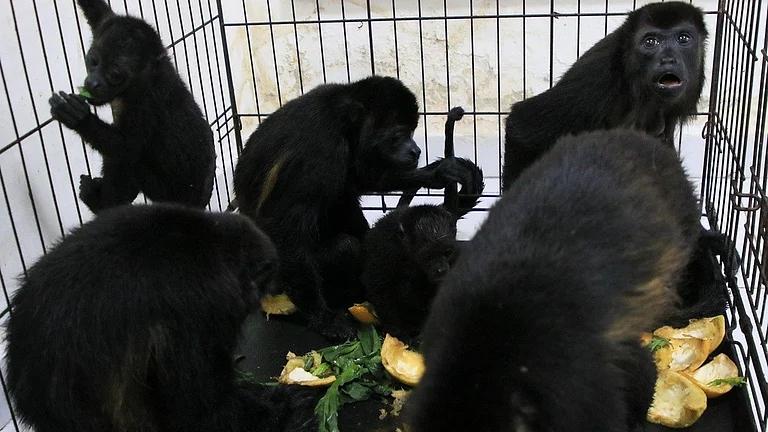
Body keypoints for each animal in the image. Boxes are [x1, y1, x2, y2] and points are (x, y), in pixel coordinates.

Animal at [49, 0, 216, 213]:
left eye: (115, 75)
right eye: (93, 61)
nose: (93, 83)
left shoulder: (146, 102)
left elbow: (128, 148)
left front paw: (78, 117)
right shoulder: (106, 21)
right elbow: (95, 9)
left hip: (163, 193)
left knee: (127, 161)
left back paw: (101, 205)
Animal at [233, 76, 476, 341]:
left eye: (412, 132)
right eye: (399, 136)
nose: (416, 150)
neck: (342, 119)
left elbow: (358, 179)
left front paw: (436, 174)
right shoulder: (320, 152)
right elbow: (285, 229)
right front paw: (325, 320)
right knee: (343, 245)